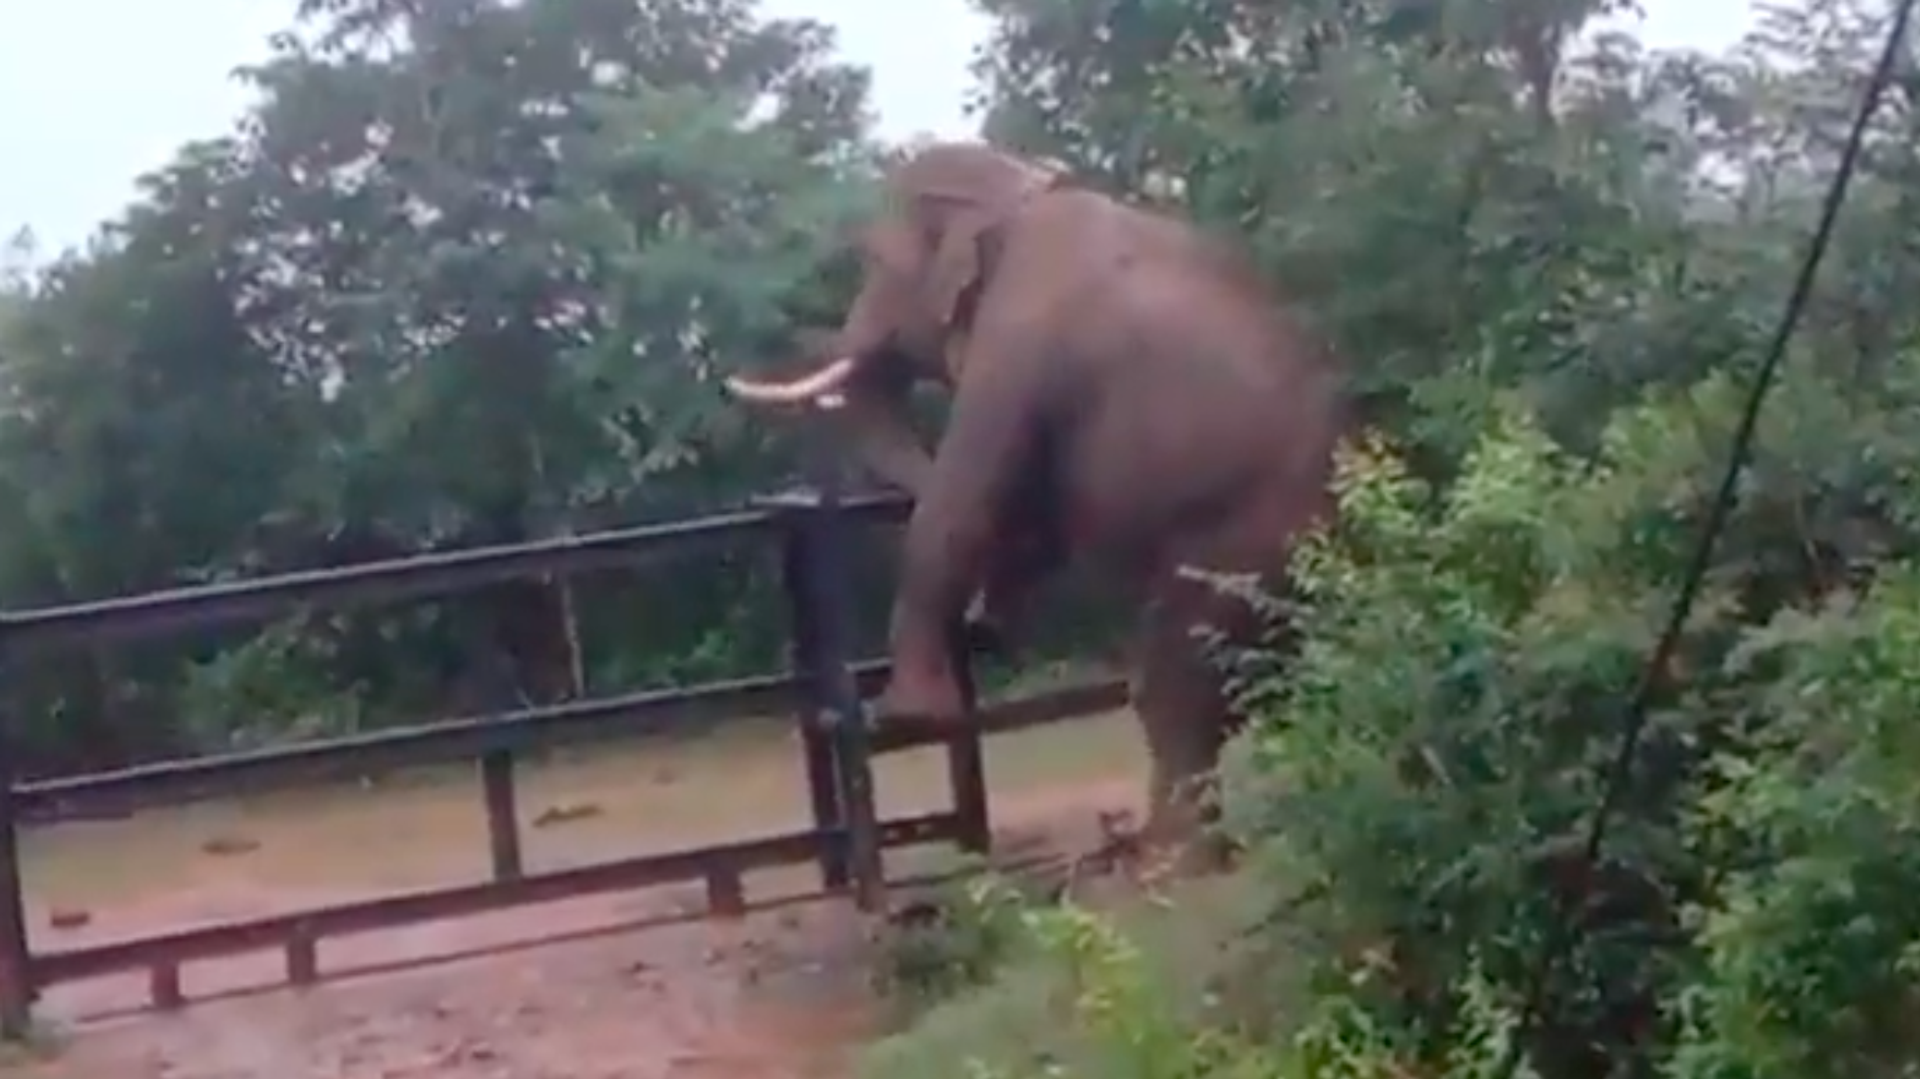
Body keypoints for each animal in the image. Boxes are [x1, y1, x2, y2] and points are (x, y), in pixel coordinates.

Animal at [725, 141, 1346, 863]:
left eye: (876, 261)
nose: (984, 624)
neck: (1020, 186)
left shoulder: (1019, 337)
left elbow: (966, 491)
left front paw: (905, 713)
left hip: (1234, 545)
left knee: (1178, 677)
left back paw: (1166, 855)